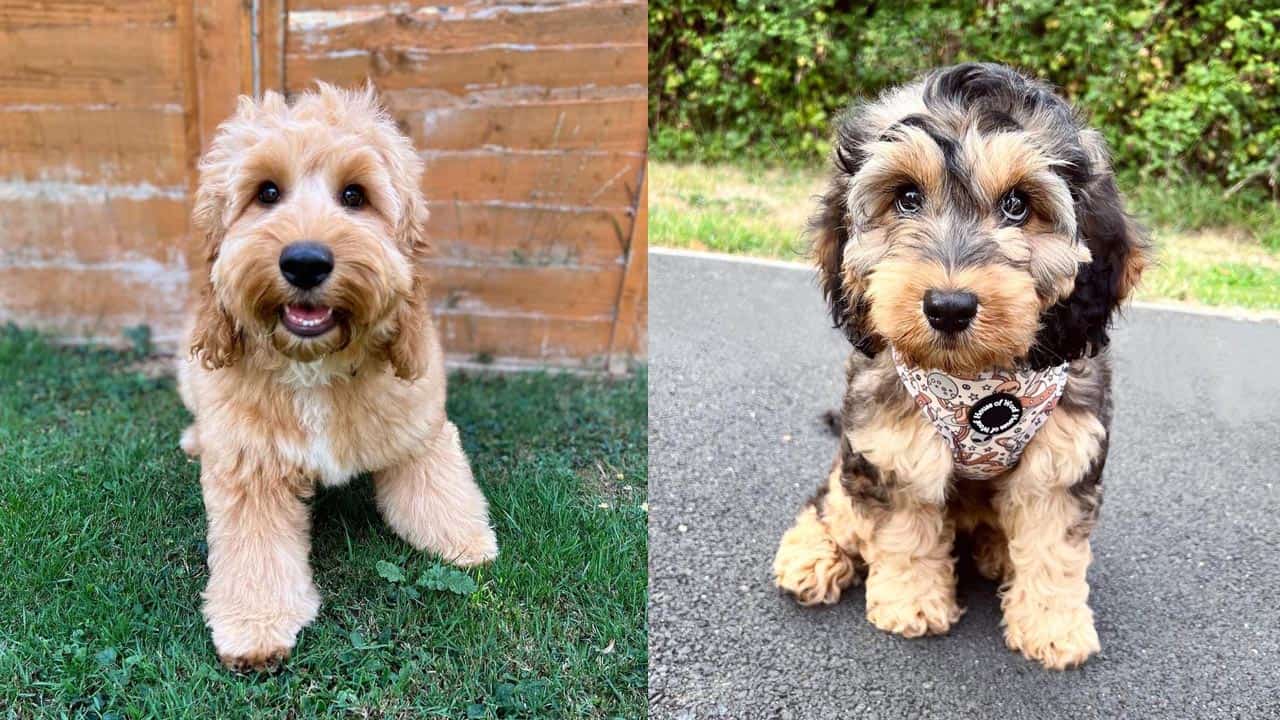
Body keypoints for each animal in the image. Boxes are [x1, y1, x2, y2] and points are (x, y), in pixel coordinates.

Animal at [177, 85, 496, 671]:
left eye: (354, 195)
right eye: (267, 192)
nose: (305, 262)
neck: (313, 366)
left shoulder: (420, 427)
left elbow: (438, 486)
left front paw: (465, 538)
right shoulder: (249, 468)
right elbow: (255, 551)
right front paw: (255, 624)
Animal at [768, 64, 1152, 671]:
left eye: (1018, 204)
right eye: (906, 197)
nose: (948, 306)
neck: (977, 382)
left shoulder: (1064, 458)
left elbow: (1053, 547)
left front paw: (1053, 626)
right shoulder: (892, 446)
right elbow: (903, 530)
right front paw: (911, 604)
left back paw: (997, 552)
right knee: (833, 502)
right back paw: (812, 555)